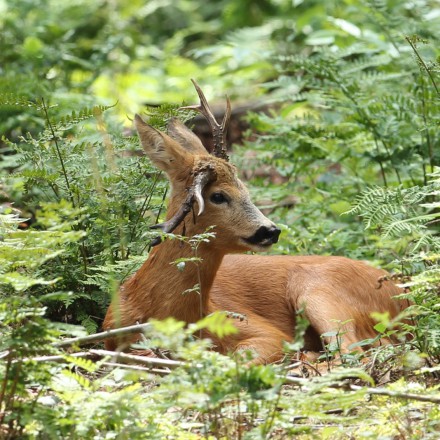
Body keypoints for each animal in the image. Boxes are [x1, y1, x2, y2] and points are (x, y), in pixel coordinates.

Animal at [101, 79, 408, 364]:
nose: (271, 231)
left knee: (357, 352)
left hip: (319, 292)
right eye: (218, 195)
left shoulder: (262, 330)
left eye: (246, 189)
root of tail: (401, 294)